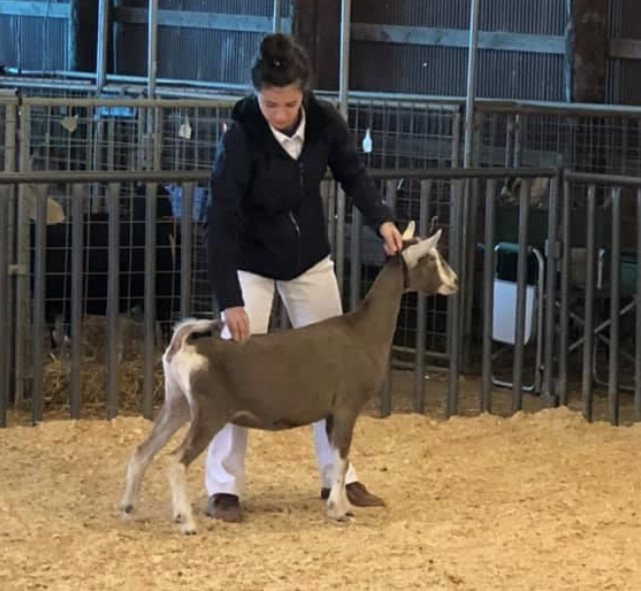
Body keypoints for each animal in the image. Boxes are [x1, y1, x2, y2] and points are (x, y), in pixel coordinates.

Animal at [120, 221, 458, 534]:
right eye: (431, 257)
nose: (454, 282)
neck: (363, 330)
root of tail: (184, 346)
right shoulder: (347, 406)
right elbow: (342, 458)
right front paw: (338, 511)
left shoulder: (331, 413)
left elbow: (337, 458)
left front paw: (343, 504)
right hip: (208, 413)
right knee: (175, 460)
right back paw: (186, 522)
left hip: (177, 404)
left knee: (143, 450)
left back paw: (128, 507)